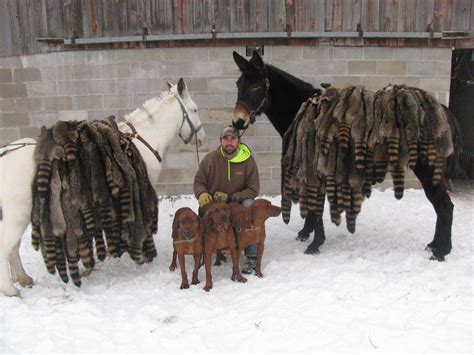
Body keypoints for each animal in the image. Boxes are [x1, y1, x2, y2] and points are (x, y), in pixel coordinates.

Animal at [0, 78, 206, 298]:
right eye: (194, 109)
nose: (202, 138)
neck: (144, 141)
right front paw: (141, 254)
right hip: (17, 217)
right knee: (6, 246)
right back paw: (10, 289)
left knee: (13, 248)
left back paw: (23, 278)